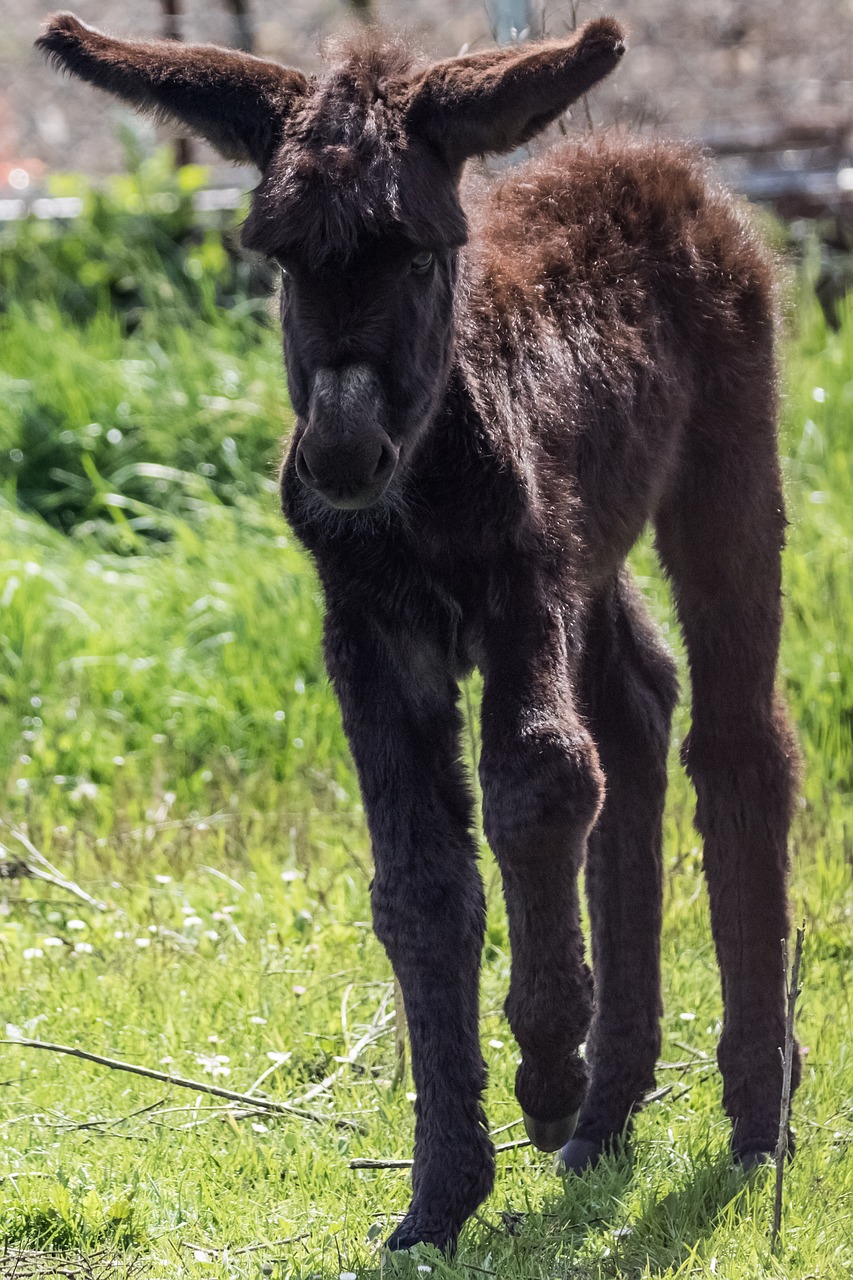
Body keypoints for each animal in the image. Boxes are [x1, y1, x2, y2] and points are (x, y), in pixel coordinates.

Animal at [38, 10, 799, 1249]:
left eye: (422, 254)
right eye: (282, 260)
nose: (344, 456)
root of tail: (644, 154)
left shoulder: (516, 588)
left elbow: (539, 783)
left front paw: (542, 1065)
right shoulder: (370, 631)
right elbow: (419, 883)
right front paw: (442, 1192)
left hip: (723, 468)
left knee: (737, 743)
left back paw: (750, 1115)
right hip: (592, 546)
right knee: (637, 707)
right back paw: (610, 1106)